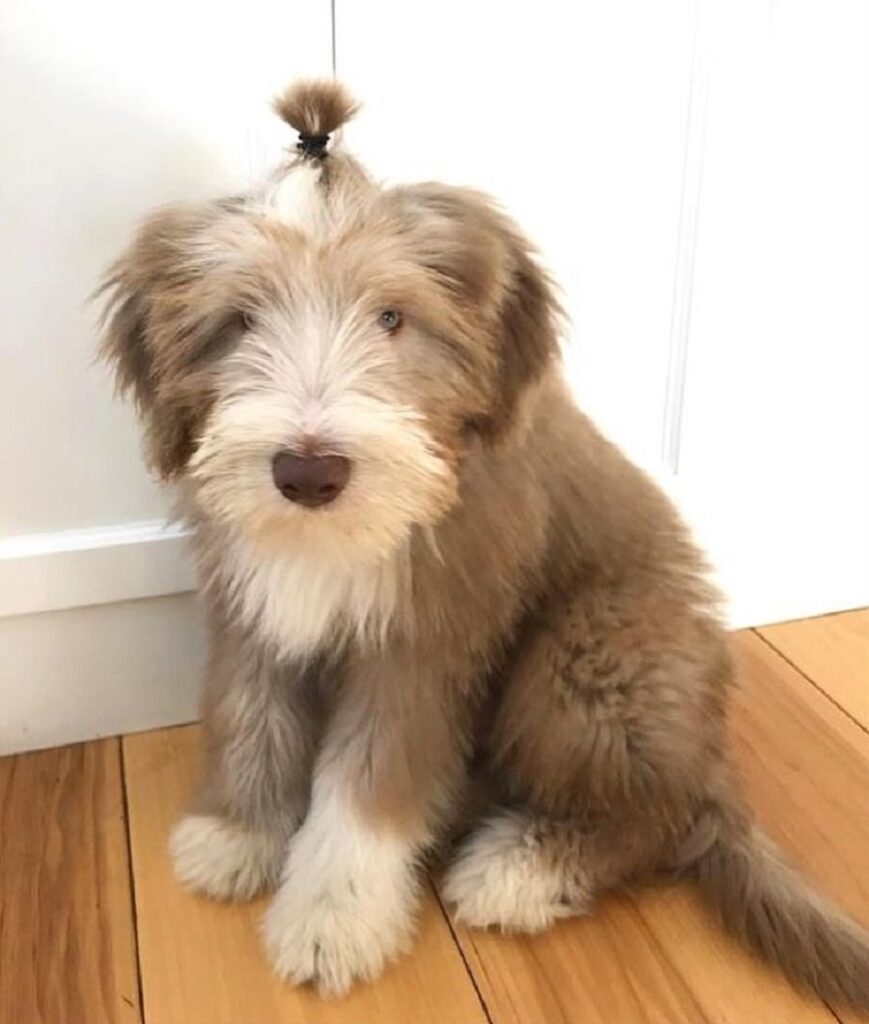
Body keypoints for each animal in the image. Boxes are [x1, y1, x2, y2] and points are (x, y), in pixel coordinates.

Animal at [96, 81, 867, 1007]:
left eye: (391, 316)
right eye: (241, 321)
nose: (307, 472)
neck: (336, 538)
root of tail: (709, 762)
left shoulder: (424, 641)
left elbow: (367, 785)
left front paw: (331, 917)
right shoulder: (251, 603)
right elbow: (251, 712)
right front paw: (237, 831)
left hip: (589, 662)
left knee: (650, 817)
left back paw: (519, 871)